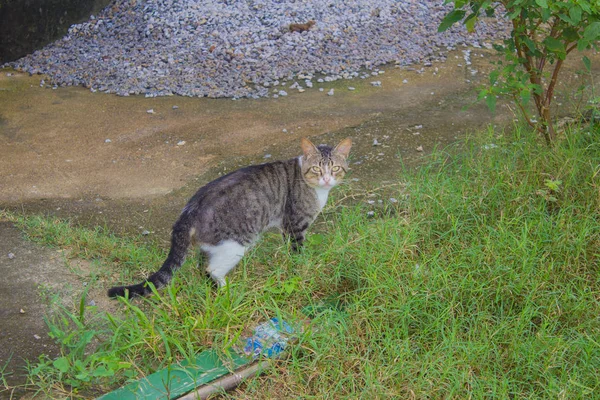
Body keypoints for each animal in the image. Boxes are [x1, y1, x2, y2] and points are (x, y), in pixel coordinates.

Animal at [108, 138, 352, 296]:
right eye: (317, 169)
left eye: (335, 169)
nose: (327, 179)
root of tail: (190, 209)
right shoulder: (294, 226)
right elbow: (297, 252)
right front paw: (301, 267)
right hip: (235, 244)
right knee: (211, 270)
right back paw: (228, 292)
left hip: (213, 245)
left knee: (201, 267)